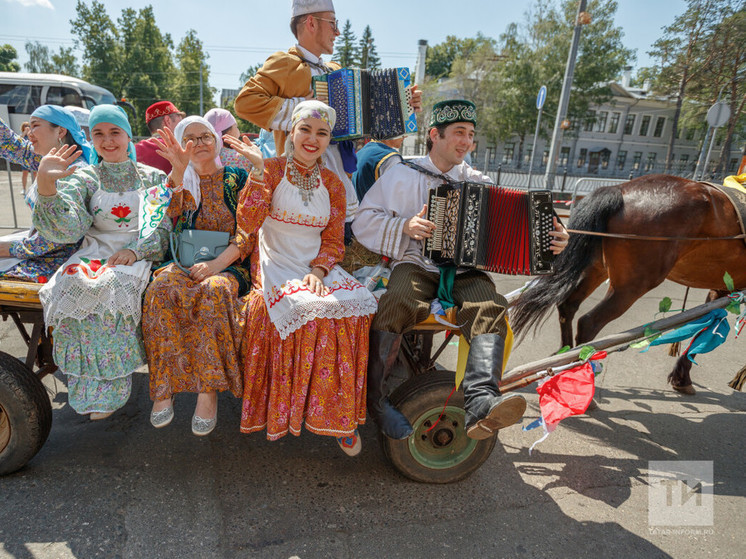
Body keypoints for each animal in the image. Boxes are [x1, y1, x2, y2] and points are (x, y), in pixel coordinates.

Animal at [508, 175, 744, 394]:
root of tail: (619, 190)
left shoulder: (723, 286)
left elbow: (706, 324)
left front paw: (681, 376)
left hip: (597, 268)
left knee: (568, 306)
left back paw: (565, 361)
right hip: (632, 285)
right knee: (588, 323)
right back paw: (583, 371)